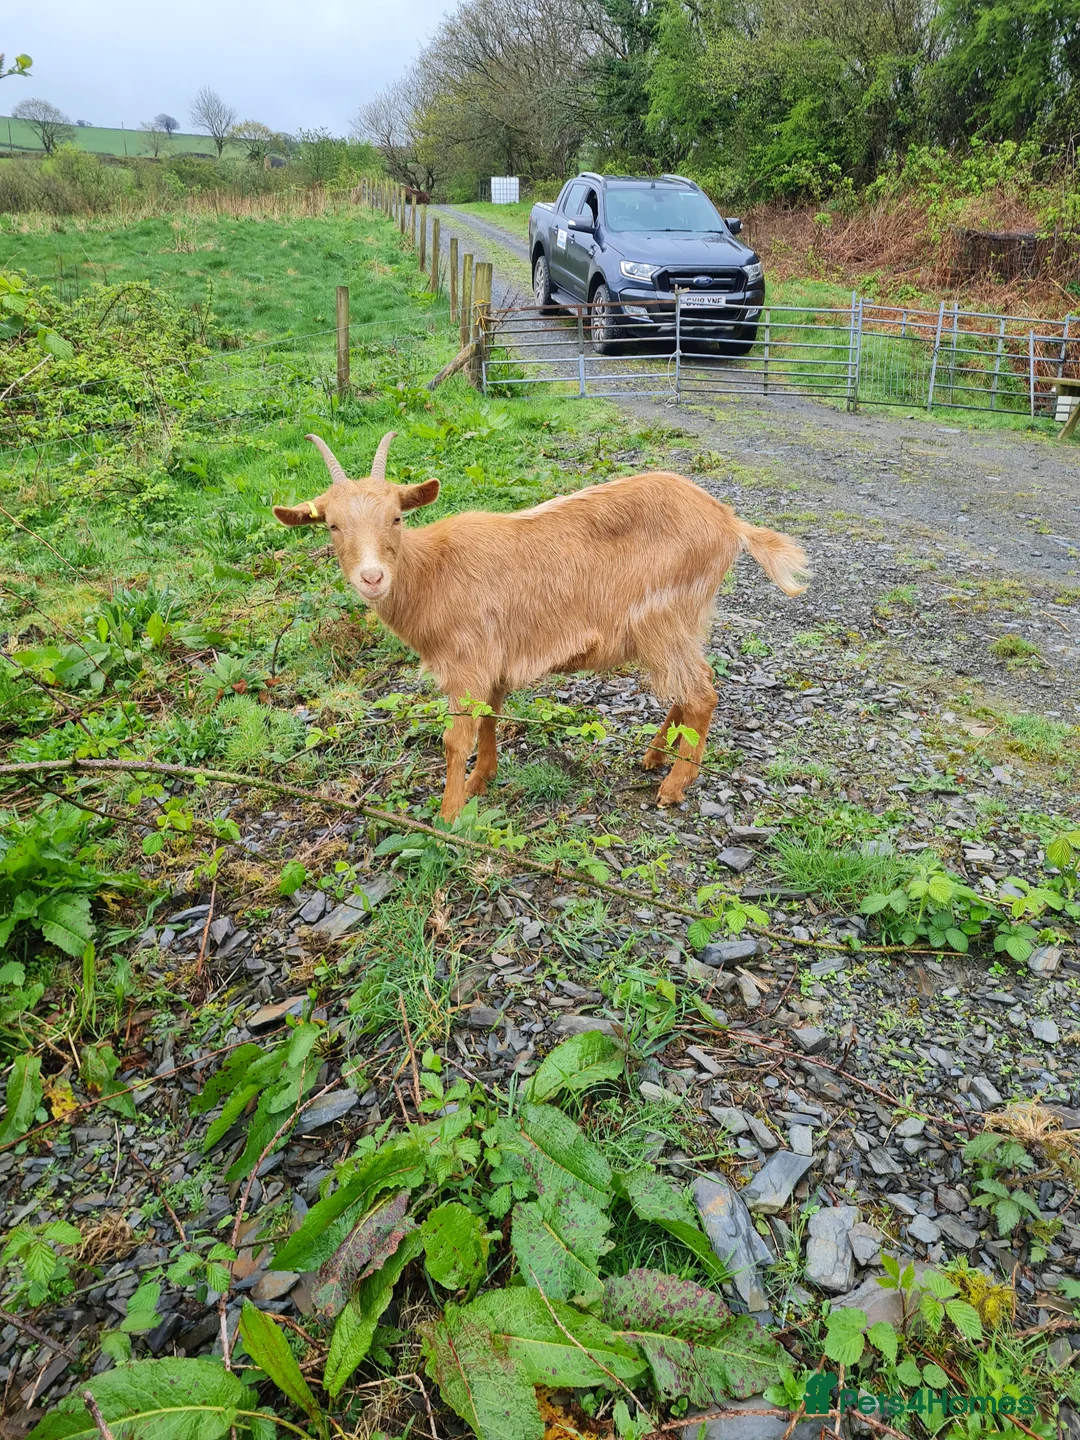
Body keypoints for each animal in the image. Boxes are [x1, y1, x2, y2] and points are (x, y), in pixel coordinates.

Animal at [273, 432, 809, 819]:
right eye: (332, 525)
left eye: (397, 518)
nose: (372, 577)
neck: (432, 571)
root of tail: (729, 522)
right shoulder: (492, 661)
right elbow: (490, 718)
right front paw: (480, 781)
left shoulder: (467, 660)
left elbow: (455, 739)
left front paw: (448, 818)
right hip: (686, 619)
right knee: (689, 685)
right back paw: (656, 757)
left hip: (661, 617)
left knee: (701, 692)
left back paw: (673, 786)